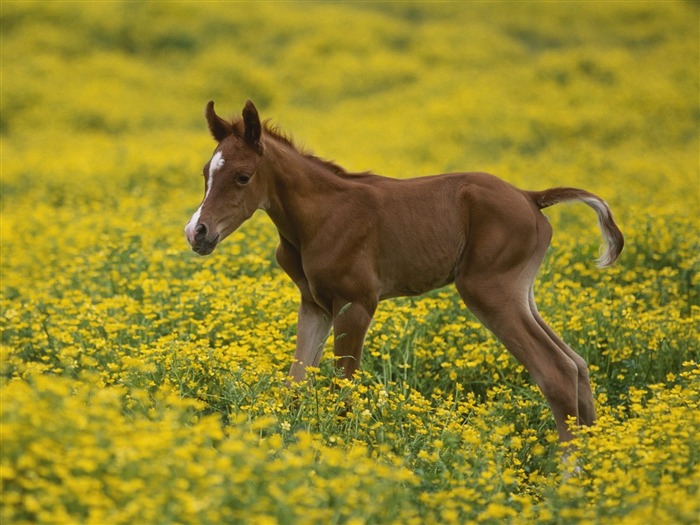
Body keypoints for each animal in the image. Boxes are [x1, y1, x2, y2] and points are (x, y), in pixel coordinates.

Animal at [185, 99, 624, 442]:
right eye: (206, 173)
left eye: (243, 177)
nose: (197, 232)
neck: (320, 217)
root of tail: (531, 197)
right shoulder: (315, 305)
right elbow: (296, 381)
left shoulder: (357, 304)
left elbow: (344, 387)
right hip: (521, 294)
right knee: (577, 364)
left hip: (489, 291)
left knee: (556, 370)